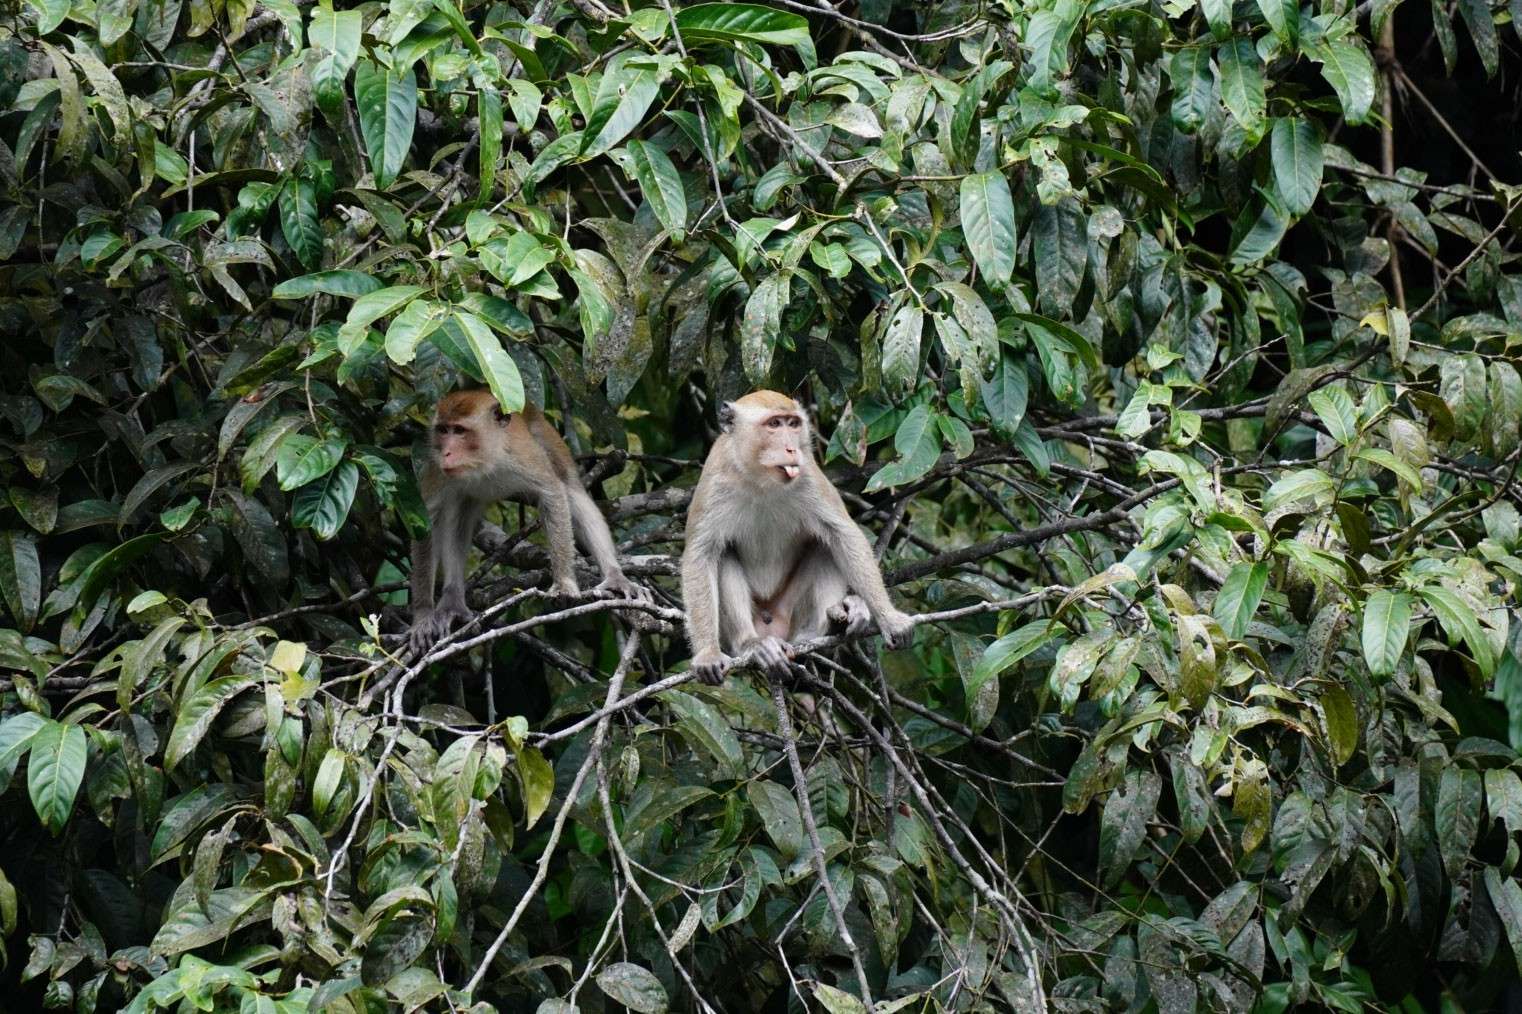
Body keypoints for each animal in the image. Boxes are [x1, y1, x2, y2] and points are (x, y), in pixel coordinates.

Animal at [409, 389, 645, 653]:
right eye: (443, 430)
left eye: (459, 431)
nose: (446, 453)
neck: (485, 459)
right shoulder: (436, 468)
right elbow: (427, 521)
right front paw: (423, 616)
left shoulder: (523, 454)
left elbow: (553, 493)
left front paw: (564, 584)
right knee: (459, 518)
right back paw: (452, 600)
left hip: (543, 432)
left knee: (571, 489)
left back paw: (614, 575)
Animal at [680, 390, 915, 684]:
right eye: (774, 424)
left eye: (793, 424)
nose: (792, 449)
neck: (761, 480)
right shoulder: (714, 480)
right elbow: (701, 554)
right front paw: (708, 654)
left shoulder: (809, 475)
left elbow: (843, 534)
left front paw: (890, 618)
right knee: (723, 556)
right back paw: (752, 644)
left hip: (791, 612)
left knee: (826, 544)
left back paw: (826, 626)